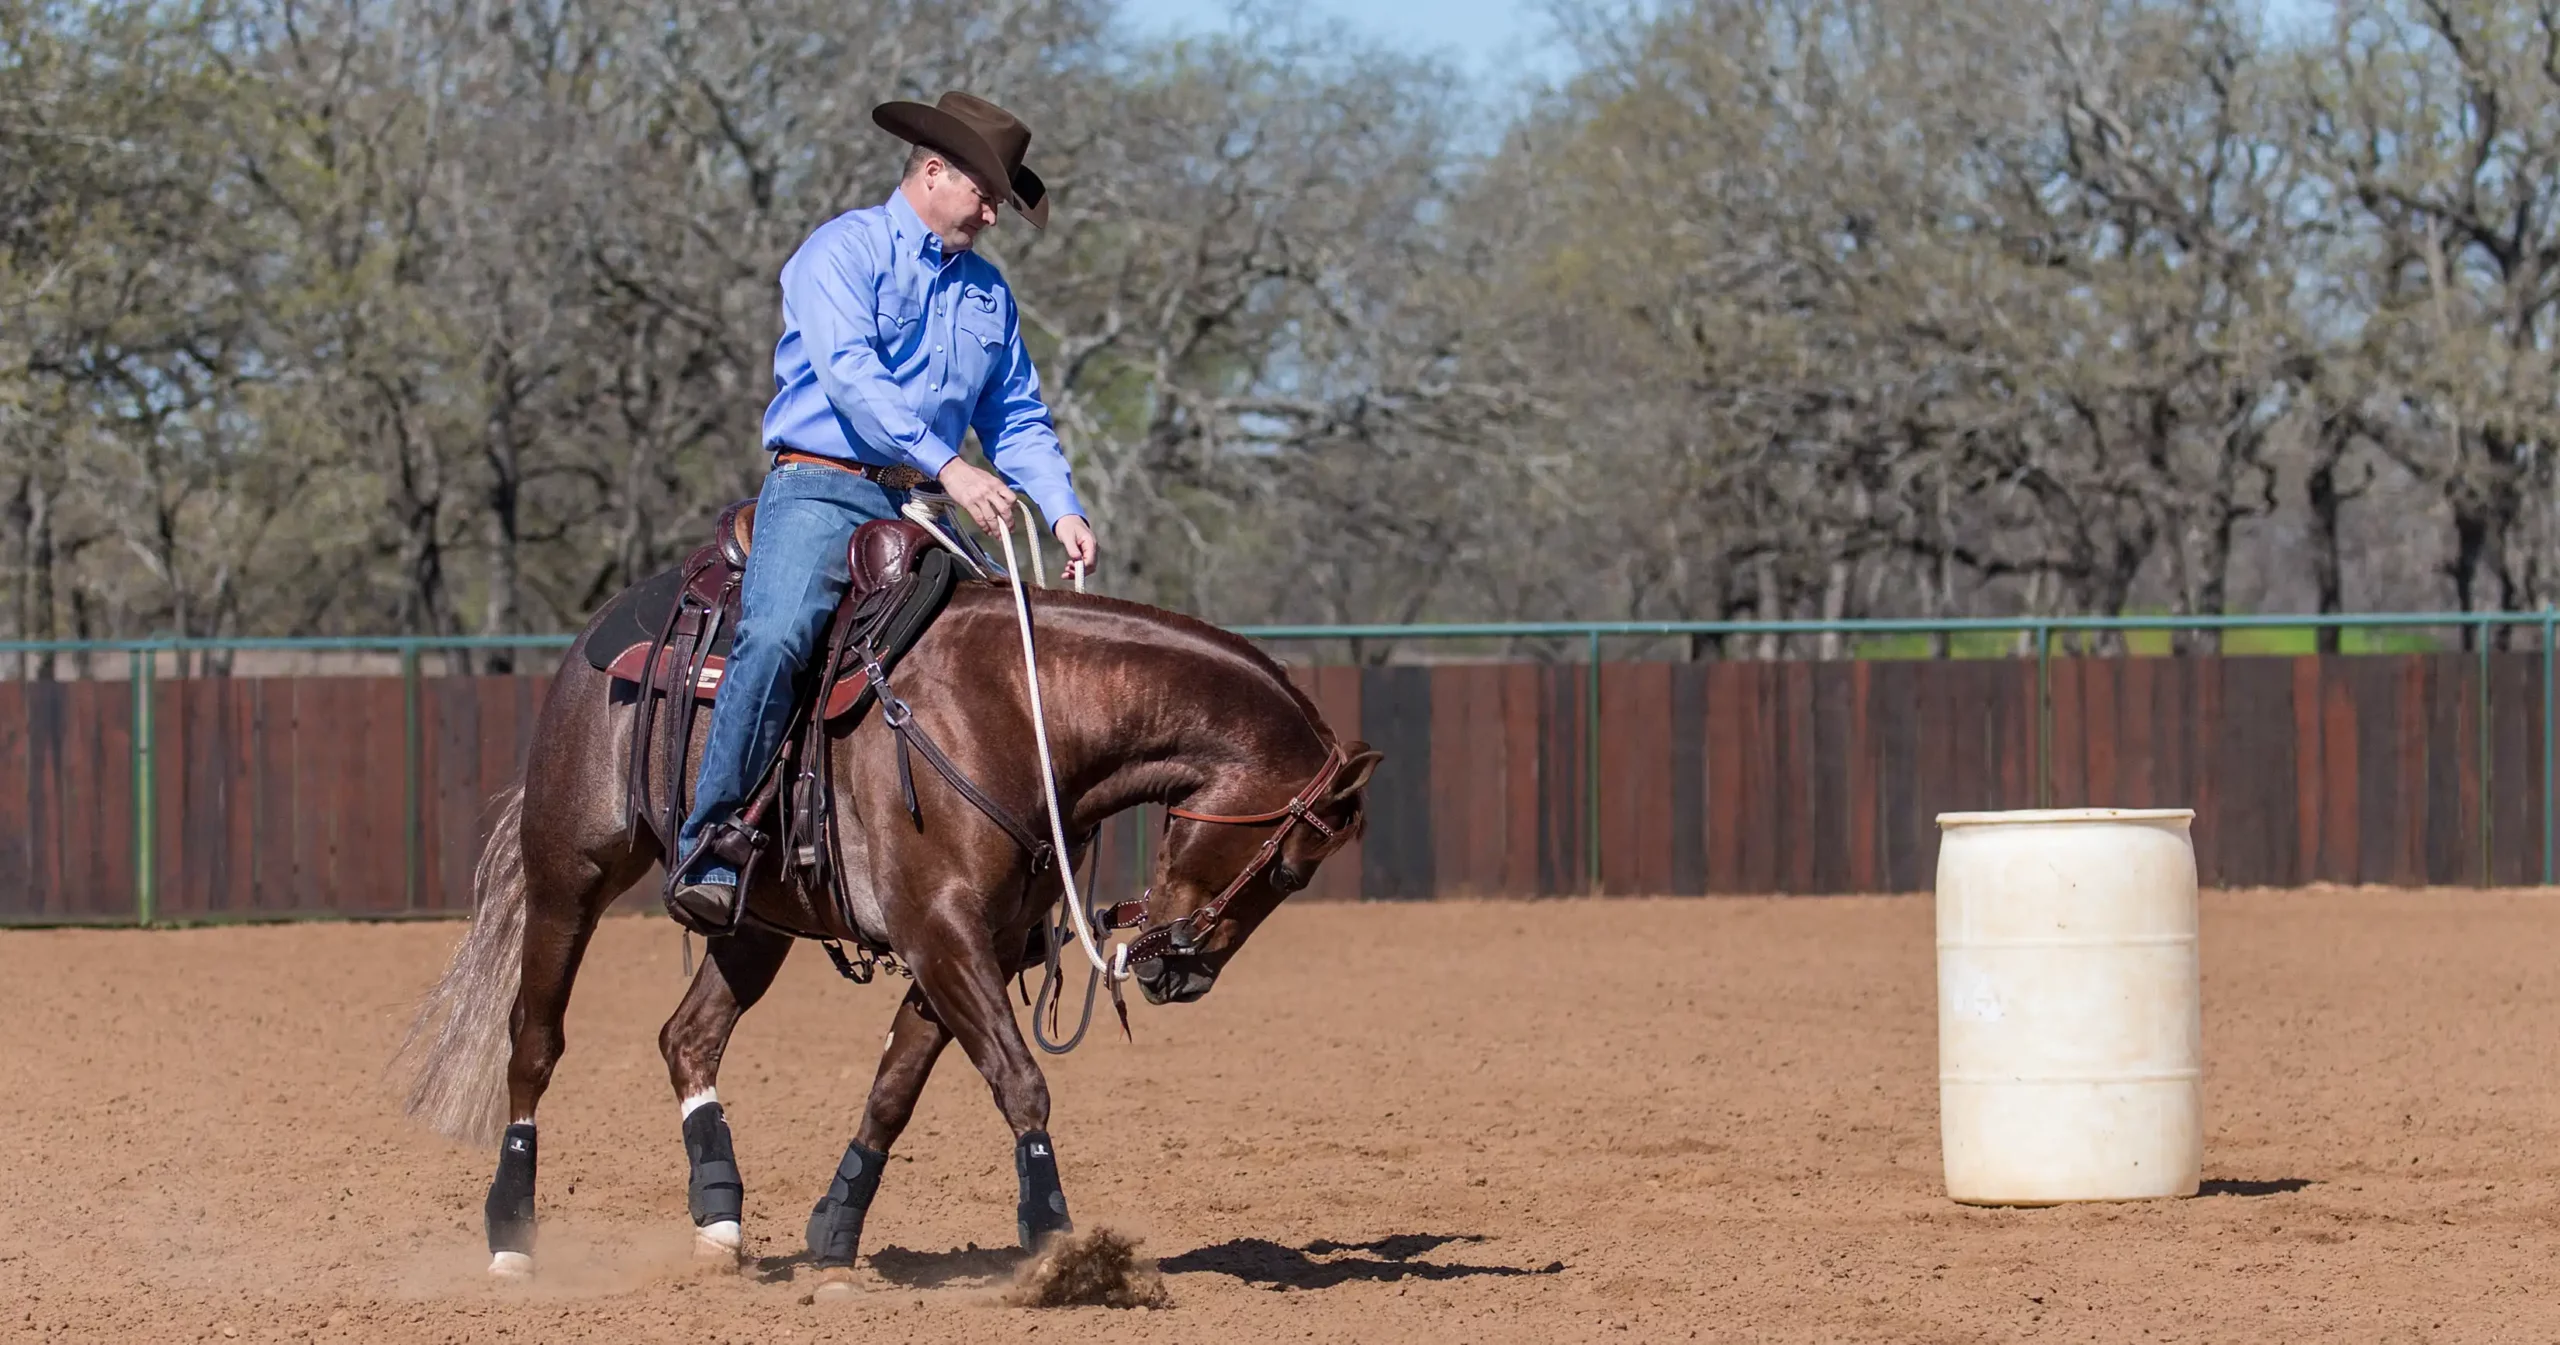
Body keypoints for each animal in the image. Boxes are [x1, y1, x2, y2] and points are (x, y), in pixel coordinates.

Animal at [396, 577, 1381, 1286]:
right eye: (1292, 869)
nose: (1184, 973)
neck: (1018, 711)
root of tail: (604, 631)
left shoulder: (969, 946)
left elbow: (893, 1090)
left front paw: (834, 1234)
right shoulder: (941, 932)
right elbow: (1021, 1082)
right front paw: (1060, 1245)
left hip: (755, 921)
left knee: (688, 1036)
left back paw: (719, 1217)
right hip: (569, 876)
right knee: (534, 1042)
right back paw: (512, 1233)